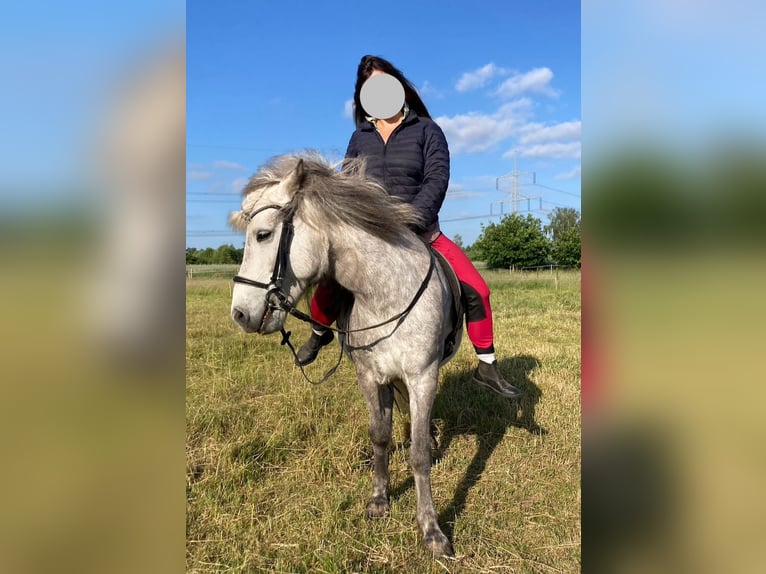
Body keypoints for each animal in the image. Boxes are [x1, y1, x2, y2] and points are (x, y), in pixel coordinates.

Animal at [230, 153, 462, 560]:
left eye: (263, 234)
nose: (240, 314)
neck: (386, 294)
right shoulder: (370, 377)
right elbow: (380, 437)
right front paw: (379, 502)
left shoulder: (424, 376)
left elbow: (418, 454)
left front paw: (432, 531)